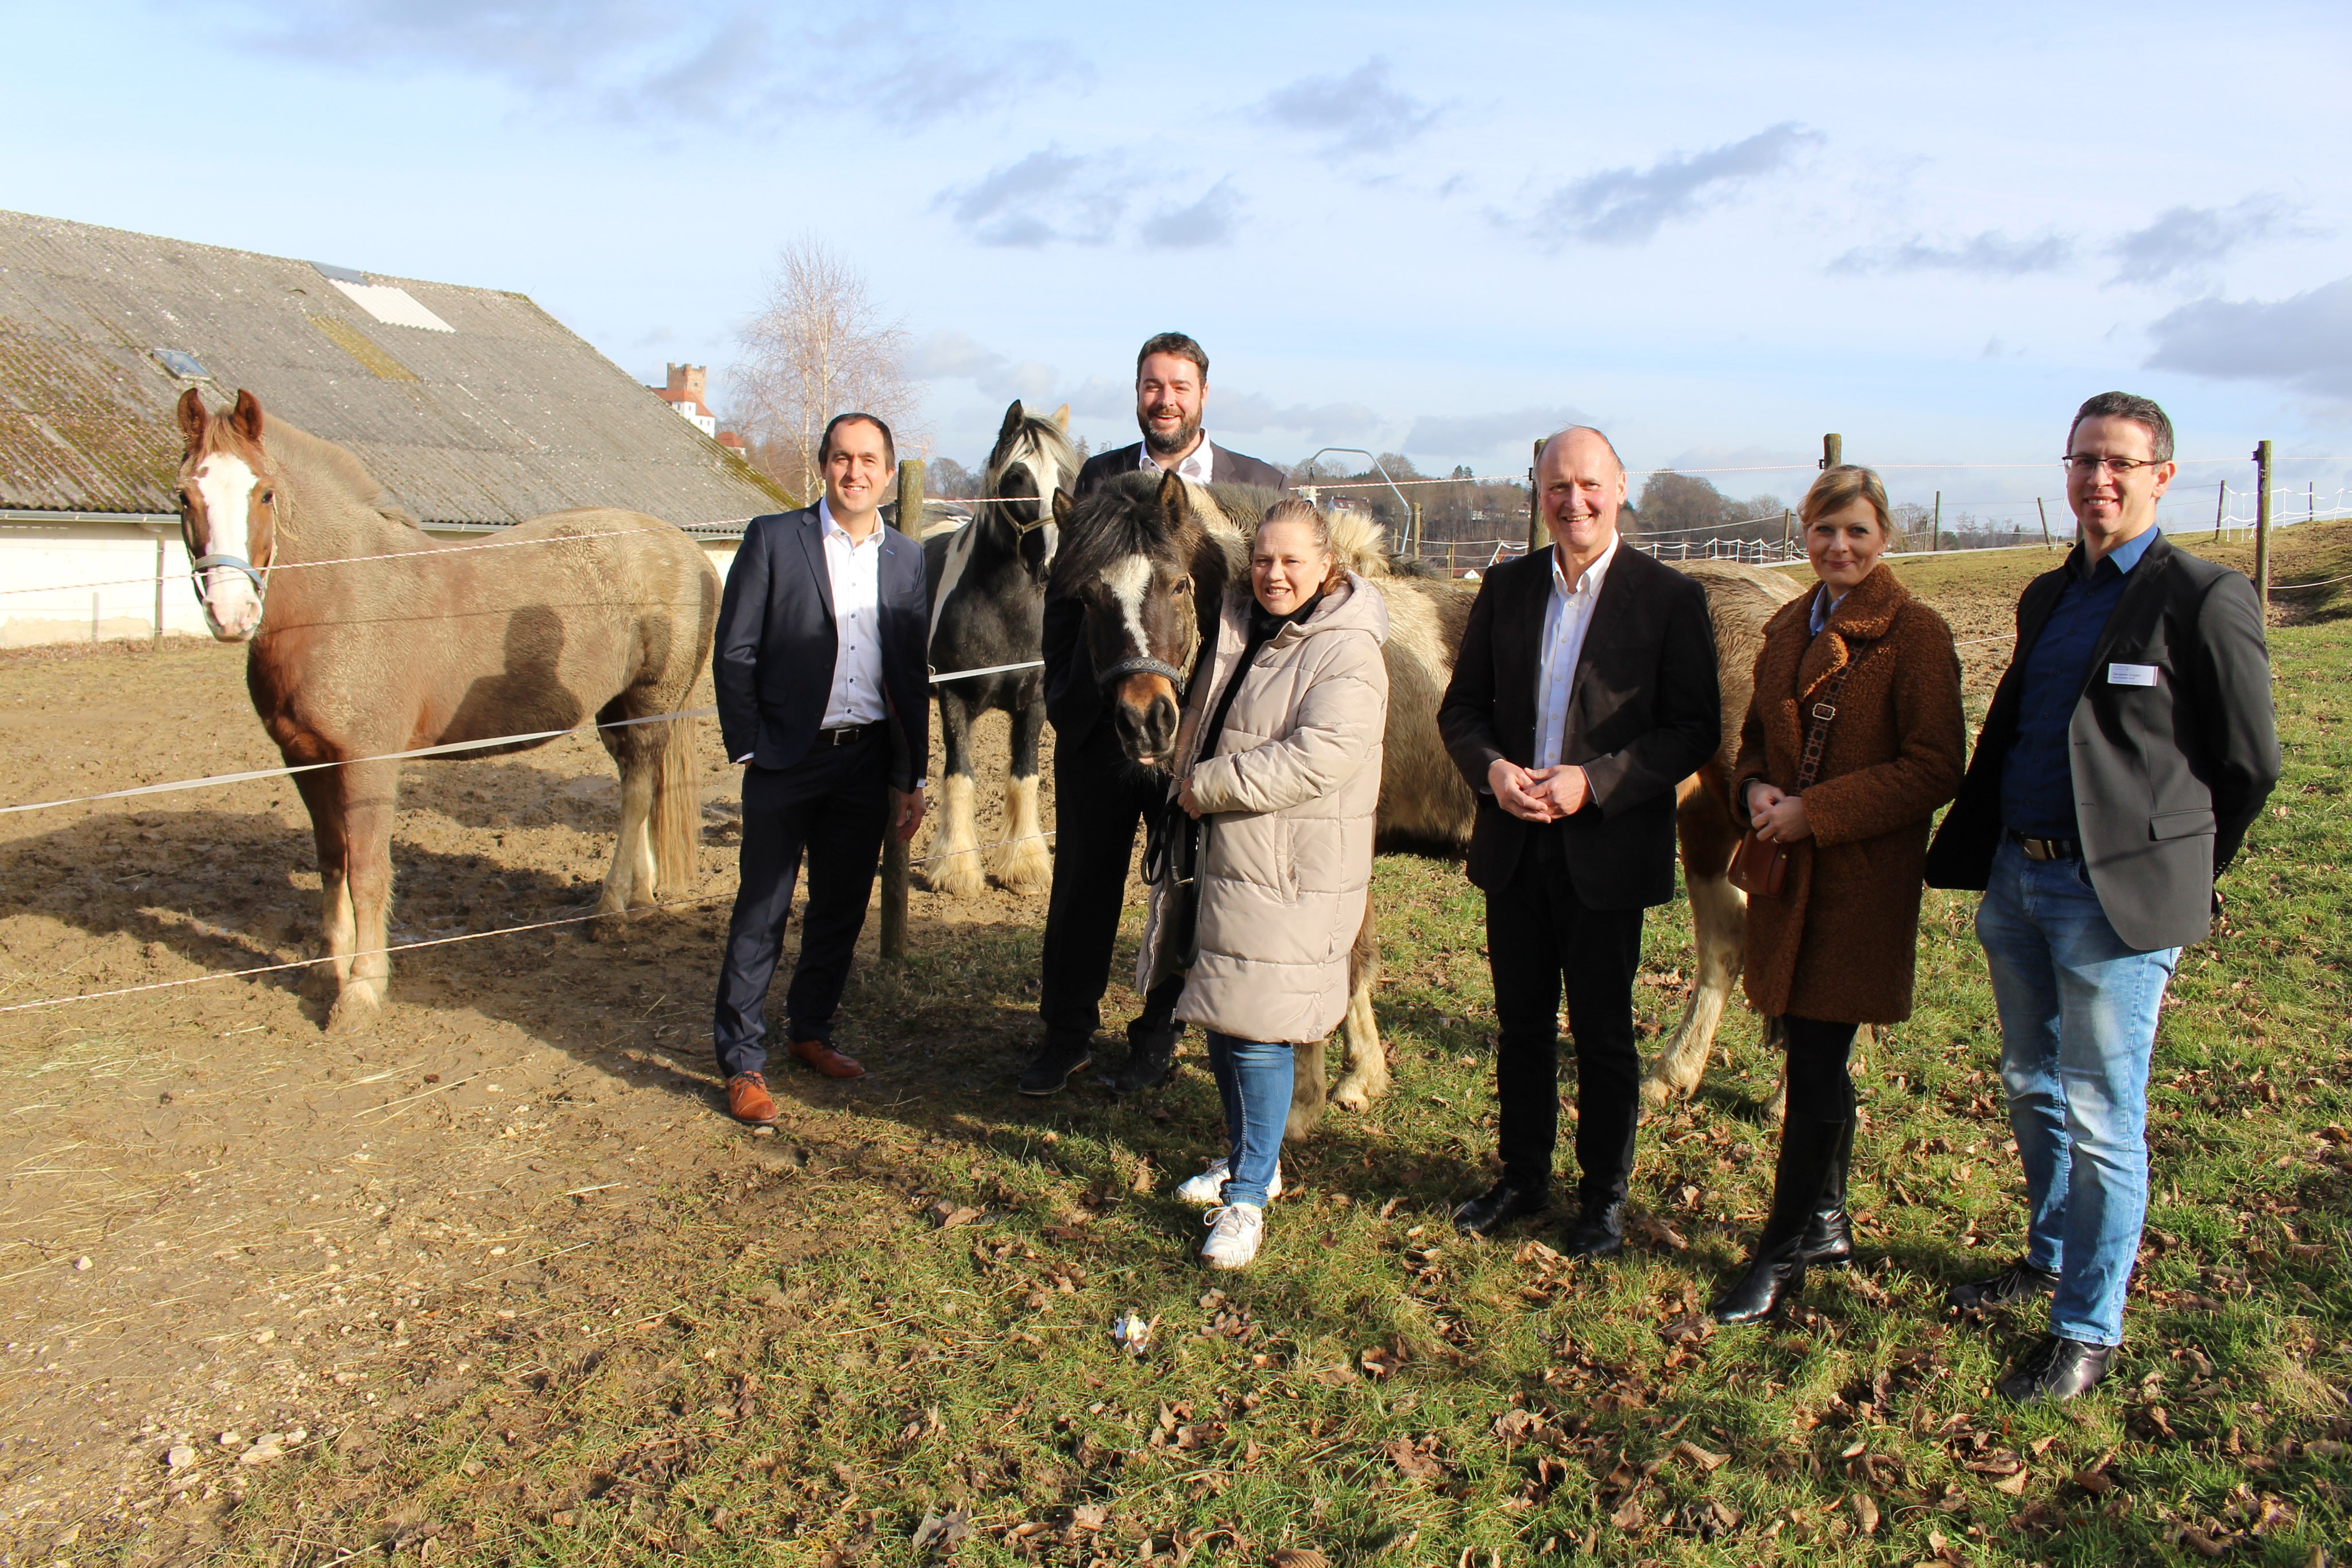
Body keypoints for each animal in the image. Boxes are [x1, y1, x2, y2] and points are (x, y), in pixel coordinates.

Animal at [177, 388, 715, 1034]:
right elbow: (332, 862)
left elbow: (367, 871)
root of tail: (686, 549)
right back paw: (639, 895)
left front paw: (362, 989)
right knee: (642, 785)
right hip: (616, 712)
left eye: (264, 493)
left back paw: (609, 911)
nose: (230, 612)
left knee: (637, 793)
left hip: (650, 702)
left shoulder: (368, 764)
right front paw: (326, 970)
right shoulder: (303, 761)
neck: (342, 598)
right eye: (184, 495)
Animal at [912, 400, 1077, 903]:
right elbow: (960, 776)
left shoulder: (1035, 702)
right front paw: (956, 869)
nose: (1056, 563)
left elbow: (1024, 777)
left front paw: (1023, 865)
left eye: (1066, 475)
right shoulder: (953, 699)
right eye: (1017, 477)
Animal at [1049, 472, 1797, 1133]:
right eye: (1086, 597)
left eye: (1177, 582)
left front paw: (1323, 1093)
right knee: (1725, 946)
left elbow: (1343, 961)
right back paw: (1675, 1072)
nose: (1145, 721)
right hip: (1706, 829)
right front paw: (1361, 1075)